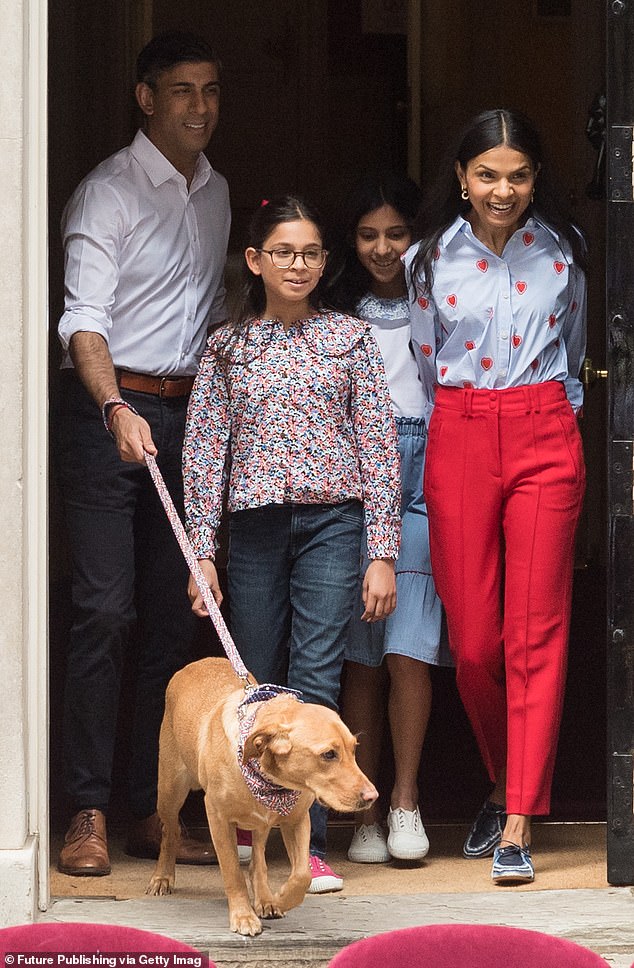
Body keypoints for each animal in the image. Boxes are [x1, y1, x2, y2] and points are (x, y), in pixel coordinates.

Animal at [147, 656, 376, 932]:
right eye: (328, 754)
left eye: (354, 749)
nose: (373, 796)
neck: (268, 780)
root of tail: (199, 662)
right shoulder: (217, 818)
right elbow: (232, 872)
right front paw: (243, 915)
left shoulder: (297, 819)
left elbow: (302, 874)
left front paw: (280, 899)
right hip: (169, 792)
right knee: (170, 833)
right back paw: (163, 876)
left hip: (261, 823)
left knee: (258, 860)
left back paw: (265, 898)